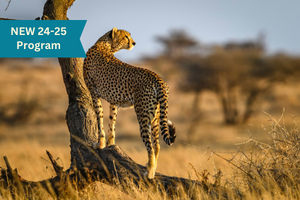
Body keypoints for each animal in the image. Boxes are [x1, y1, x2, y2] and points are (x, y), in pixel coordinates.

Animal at [82, 27, 176, 179]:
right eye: (126, 36)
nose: (134, 43)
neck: (104, 44)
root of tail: (158, 78)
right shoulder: (113, 101)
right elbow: (112, 123)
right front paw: (110, 144)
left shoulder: (94, 93)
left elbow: (99, 119)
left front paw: (100, 144)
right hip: (156, 116)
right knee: (157, 145)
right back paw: (152, 167)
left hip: (143, 116)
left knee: (150, 145)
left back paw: (149, 172)